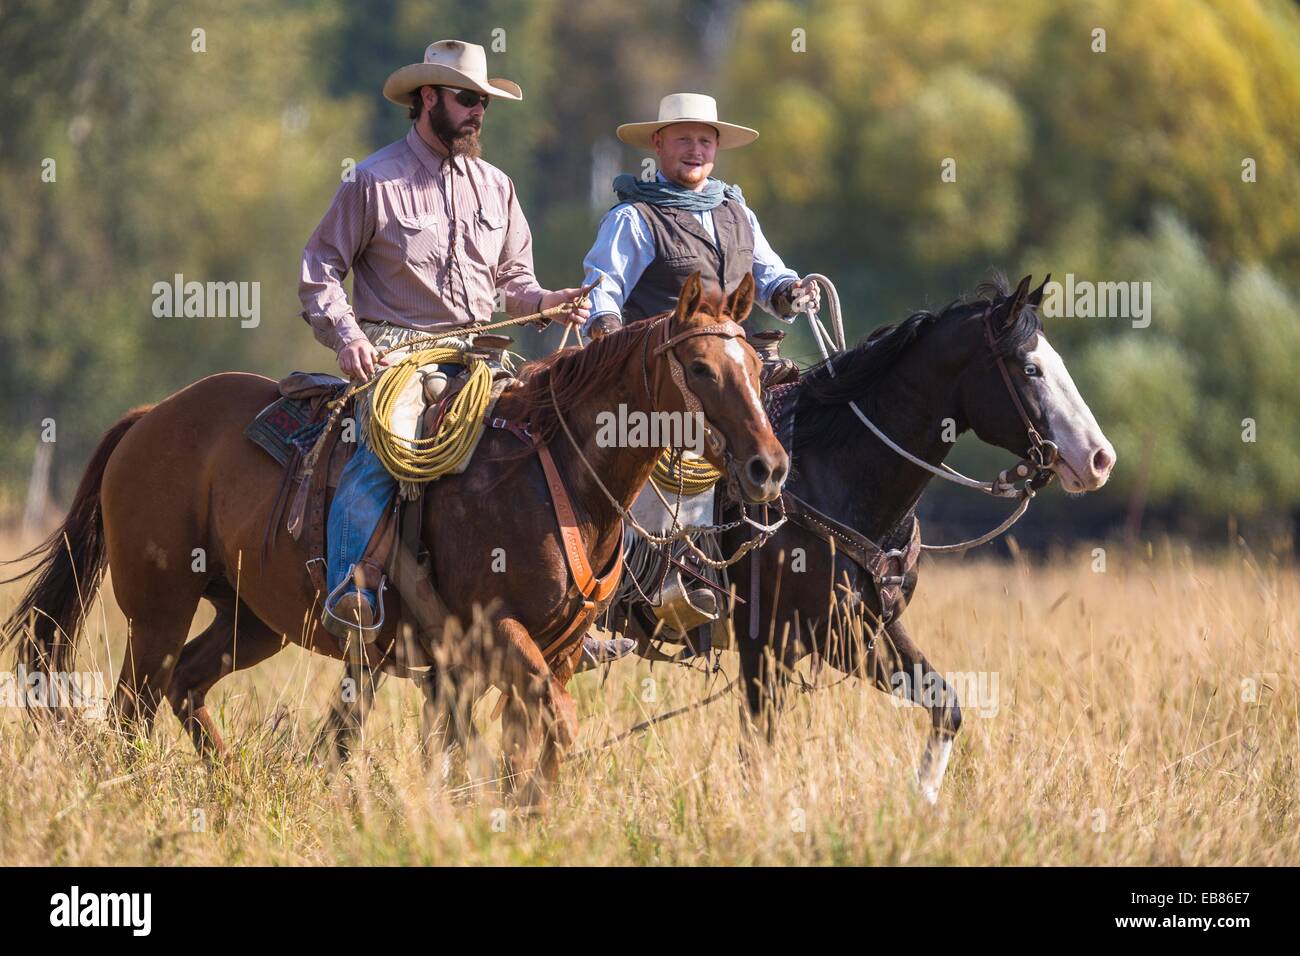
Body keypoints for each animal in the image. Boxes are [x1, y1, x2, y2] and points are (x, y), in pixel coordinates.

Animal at [5, 270, 785, 801]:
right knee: (130, 710)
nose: (768, 466)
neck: (553, 477)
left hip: (252, 620)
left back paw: (235, 786)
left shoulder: (555, 652)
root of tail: (151, 417)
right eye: (698, 367)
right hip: (158, 610)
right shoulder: (492, 631)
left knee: (185, 686)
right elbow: (551, 727)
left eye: (755, 366)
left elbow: (532, 741)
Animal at [722, 274, 1118, 801]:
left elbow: (945, 705)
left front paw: (925, 797)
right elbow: (757, 749)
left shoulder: (863, 630)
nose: (1099, 458)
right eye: (1030, 368)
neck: (828, 475)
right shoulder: (769, 640)